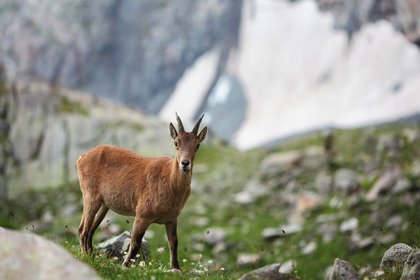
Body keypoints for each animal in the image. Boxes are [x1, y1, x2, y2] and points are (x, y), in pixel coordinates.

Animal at [76, 113, 208, 270]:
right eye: (176, 143)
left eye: (197, 145)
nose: (185, 163)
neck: (171, 184)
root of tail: (83, 157)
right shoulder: (142, 215)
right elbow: (135, 242)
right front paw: (125, 265)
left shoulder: (172, 219)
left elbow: (174, 242)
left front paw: (176, 268)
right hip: (91, 197)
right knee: (83, 230)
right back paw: (86, 257)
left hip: (104, 204)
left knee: (90, 230)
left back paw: (91, 255)